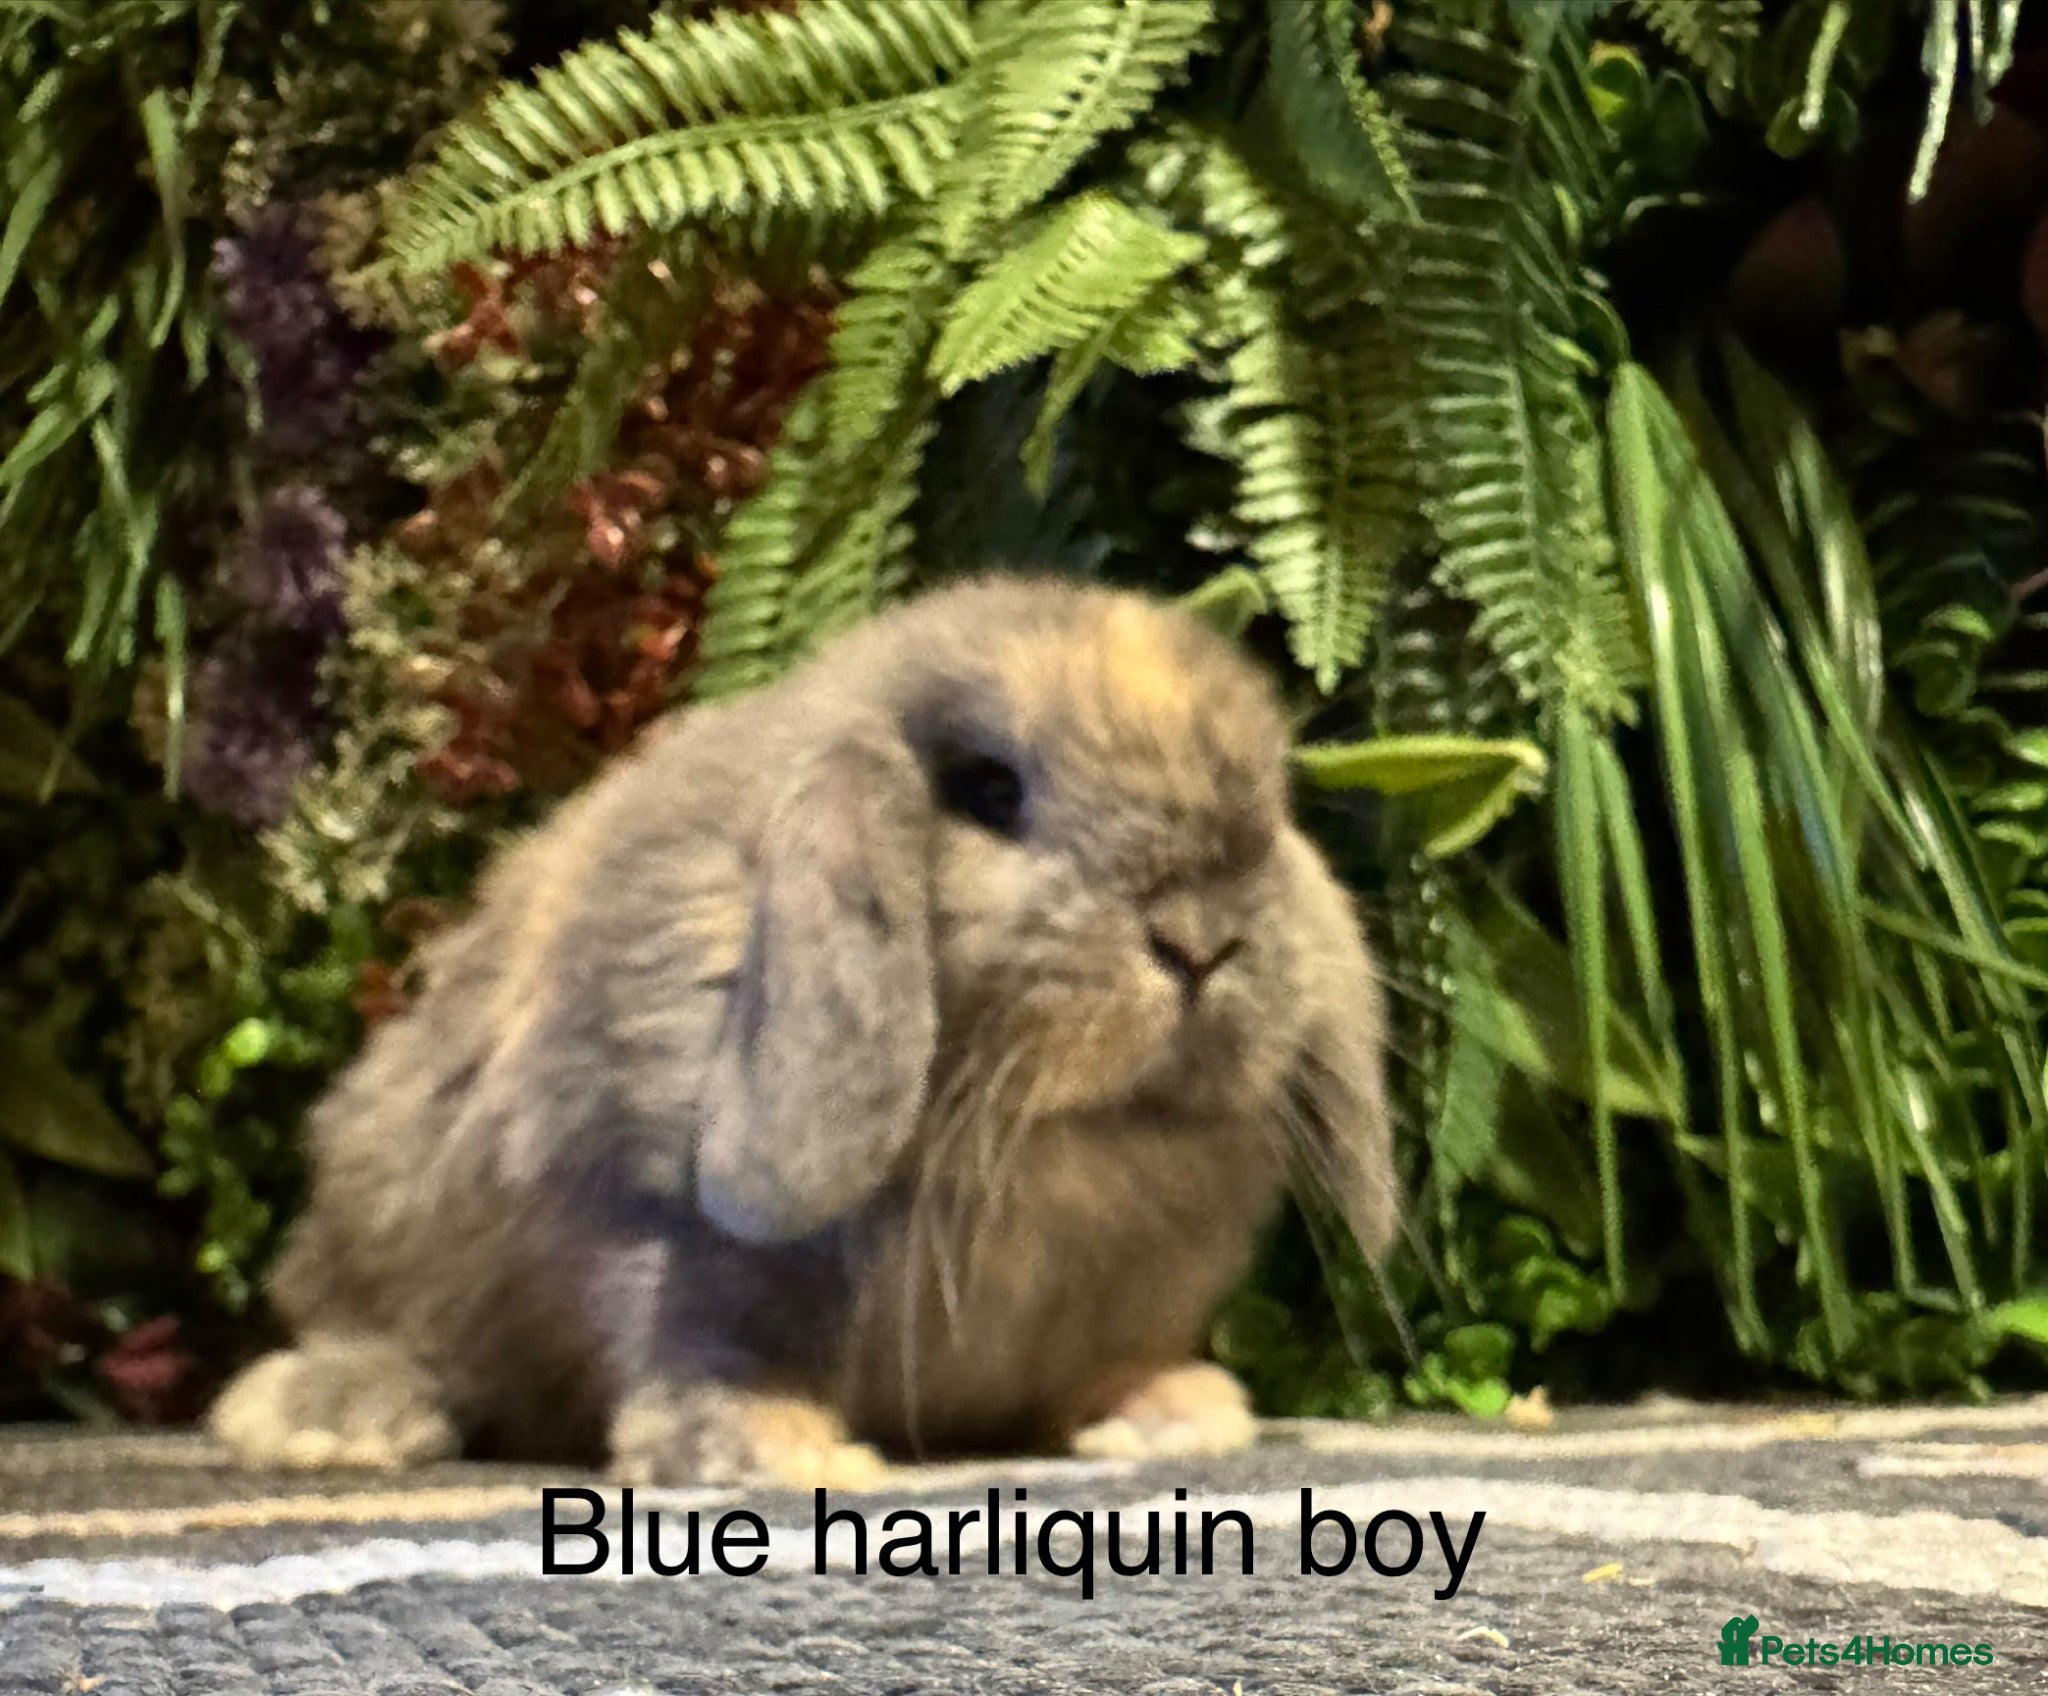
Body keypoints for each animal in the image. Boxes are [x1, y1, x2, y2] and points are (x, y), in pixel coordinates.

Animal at [207, 573, 1395, 1487]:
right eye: (987, 790)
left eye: (1267, 811)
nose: (1200, 940)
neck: (1056, 1148)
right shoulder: (662, 1222)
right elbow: (700, 1337)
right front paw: (774, 1452)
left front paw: (1172, 1413)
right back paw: (331, 1417)